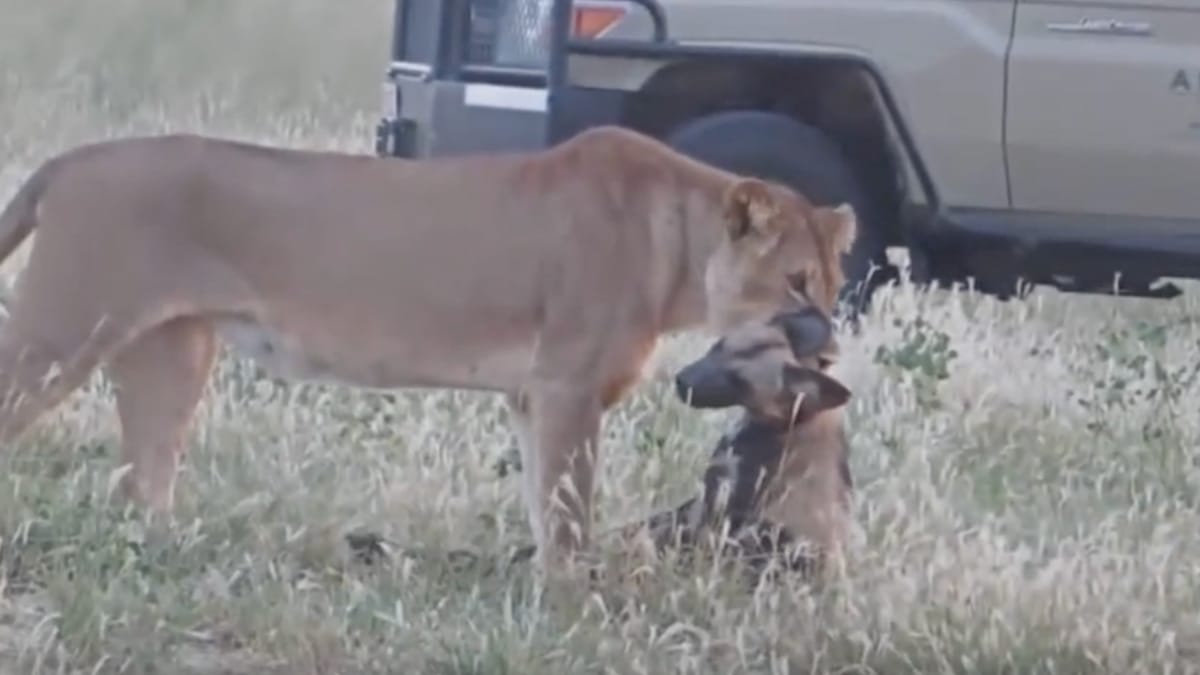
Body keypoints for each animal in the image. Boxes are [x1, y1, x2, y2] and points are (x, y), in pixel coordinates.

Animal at [0, 125, 857, 570]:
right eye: (795, 283)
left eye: (835, 282)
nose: (831, 340)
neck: (677, 248)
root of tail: (72, 159)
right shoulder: (567, 386)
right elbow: (571, 510)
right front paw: (575, 604)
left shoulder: (533, 395)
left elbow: (544, 506)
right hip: (61, 330)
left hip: (172, 354)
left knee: (139, 484)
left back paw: (165, 556)